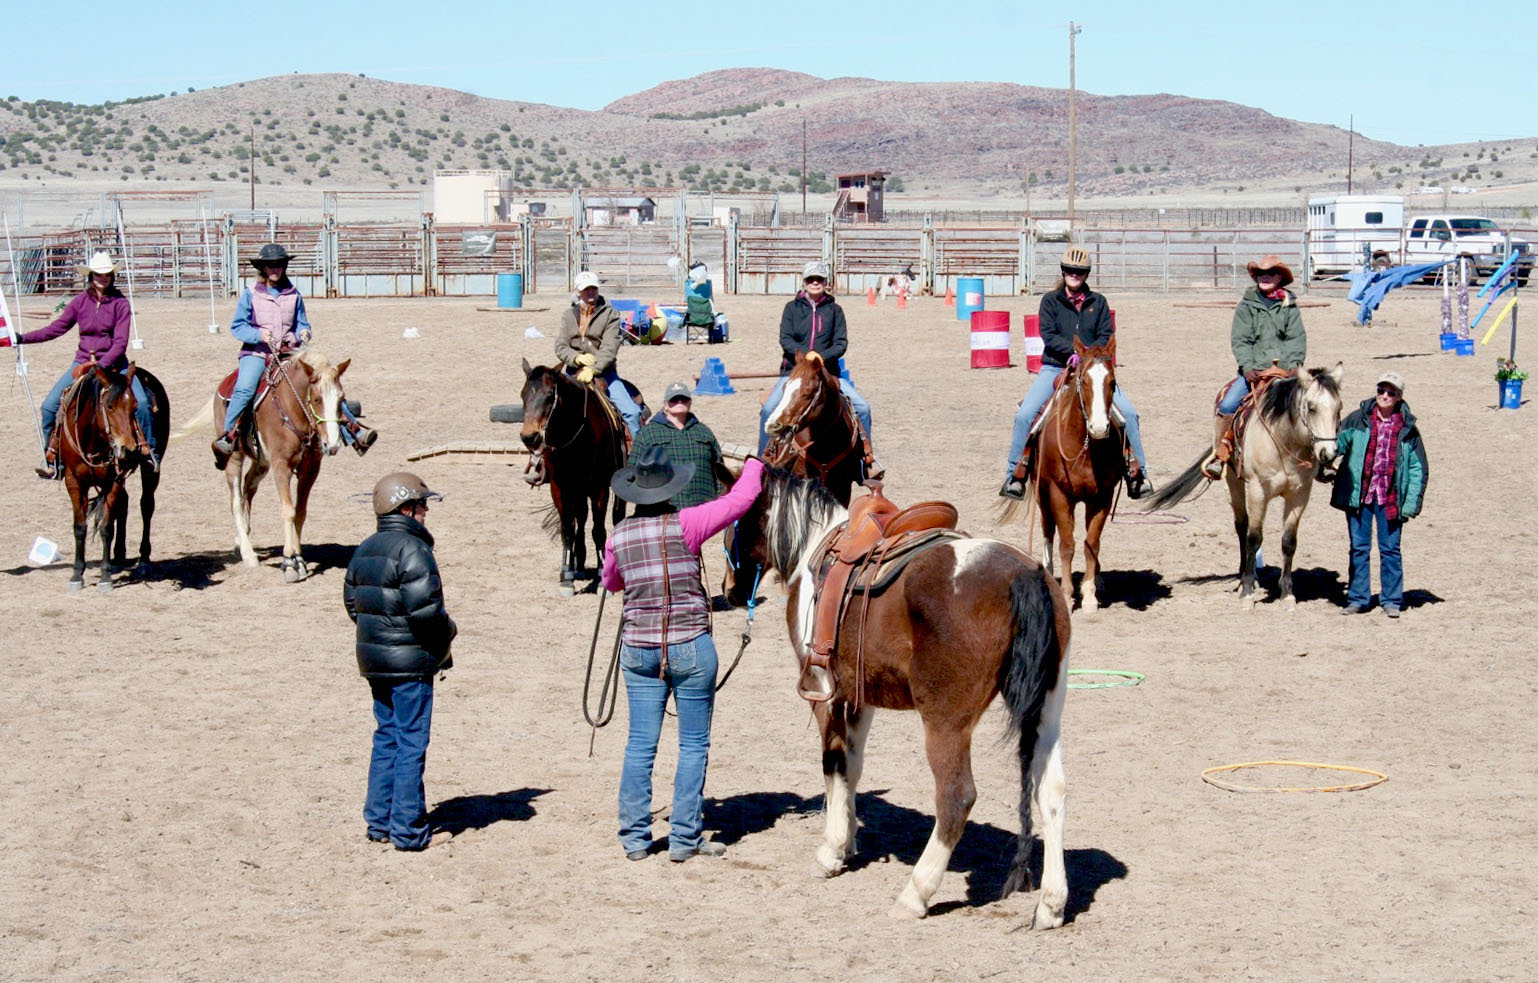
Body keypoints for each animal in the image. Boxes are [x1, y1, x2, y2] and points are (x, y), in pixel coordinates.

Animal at [53, 361, 169, 590]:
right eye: (109, 406)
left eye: (134, 407)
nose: (129, 448)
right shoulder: (74, 481)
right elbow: (80, 527)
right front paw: (77, 574)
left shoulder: (113, 480)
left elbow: (106, 527)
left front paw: (105, 576)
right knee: (124, 503)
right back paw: (118, 556)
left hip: (150, 470)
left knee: (146, 506)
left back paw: (144, 561)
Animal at [519, 359, 627, 590]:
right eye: (523, 395)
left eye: (549, 395)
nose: (529, 437)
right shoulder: (560, 487)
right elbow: (568, 528)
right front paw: (566, 574)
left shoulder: (599, 488)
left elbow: (598, 529)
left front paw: (602, 575)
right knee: (580, 518)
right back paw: (579, 564)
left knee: (616, 517)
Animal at [729, 467, 1070, 929]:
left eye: (738, 518)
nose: (731, 590)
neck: (816, 545)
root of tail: (1026, 575)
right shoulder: (860, 697)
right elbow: (852, 767)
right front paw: (849, 840)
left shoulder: (822, 692)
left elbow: (833, 764)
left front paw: (831, 850)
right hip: (1047, 712)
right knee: (1050, 791)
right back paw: (1051, 904)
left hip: (946, 723)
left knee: (956, 797)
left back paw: (915, 894)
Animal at [1008, 339, 1131, 615]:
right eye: (1083, 381)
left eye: (1113, 382)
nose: (1099, 428)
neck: (1085, 448)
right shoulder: (1059, 495)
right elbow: (1066, 545)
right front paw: (1066, 595)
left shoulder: (1102, 498)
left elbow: (1091, 544)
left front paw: (1090, 595)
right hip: (1042, 494)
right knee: (1048, 529)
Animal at [1150, 363, 1341, 609]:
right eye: (1311, 407)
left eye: (1339, 408)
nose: (1328, 454)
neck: (1285, 443)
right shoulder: (1258, 490)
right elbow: (1253, 537)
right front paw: (1247, 591)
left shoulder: (1299, 495)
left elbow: (1289, 542)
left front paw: (1287, 593)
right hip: (1234, 483)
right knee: (1242, 527)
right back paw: (1243, 577)